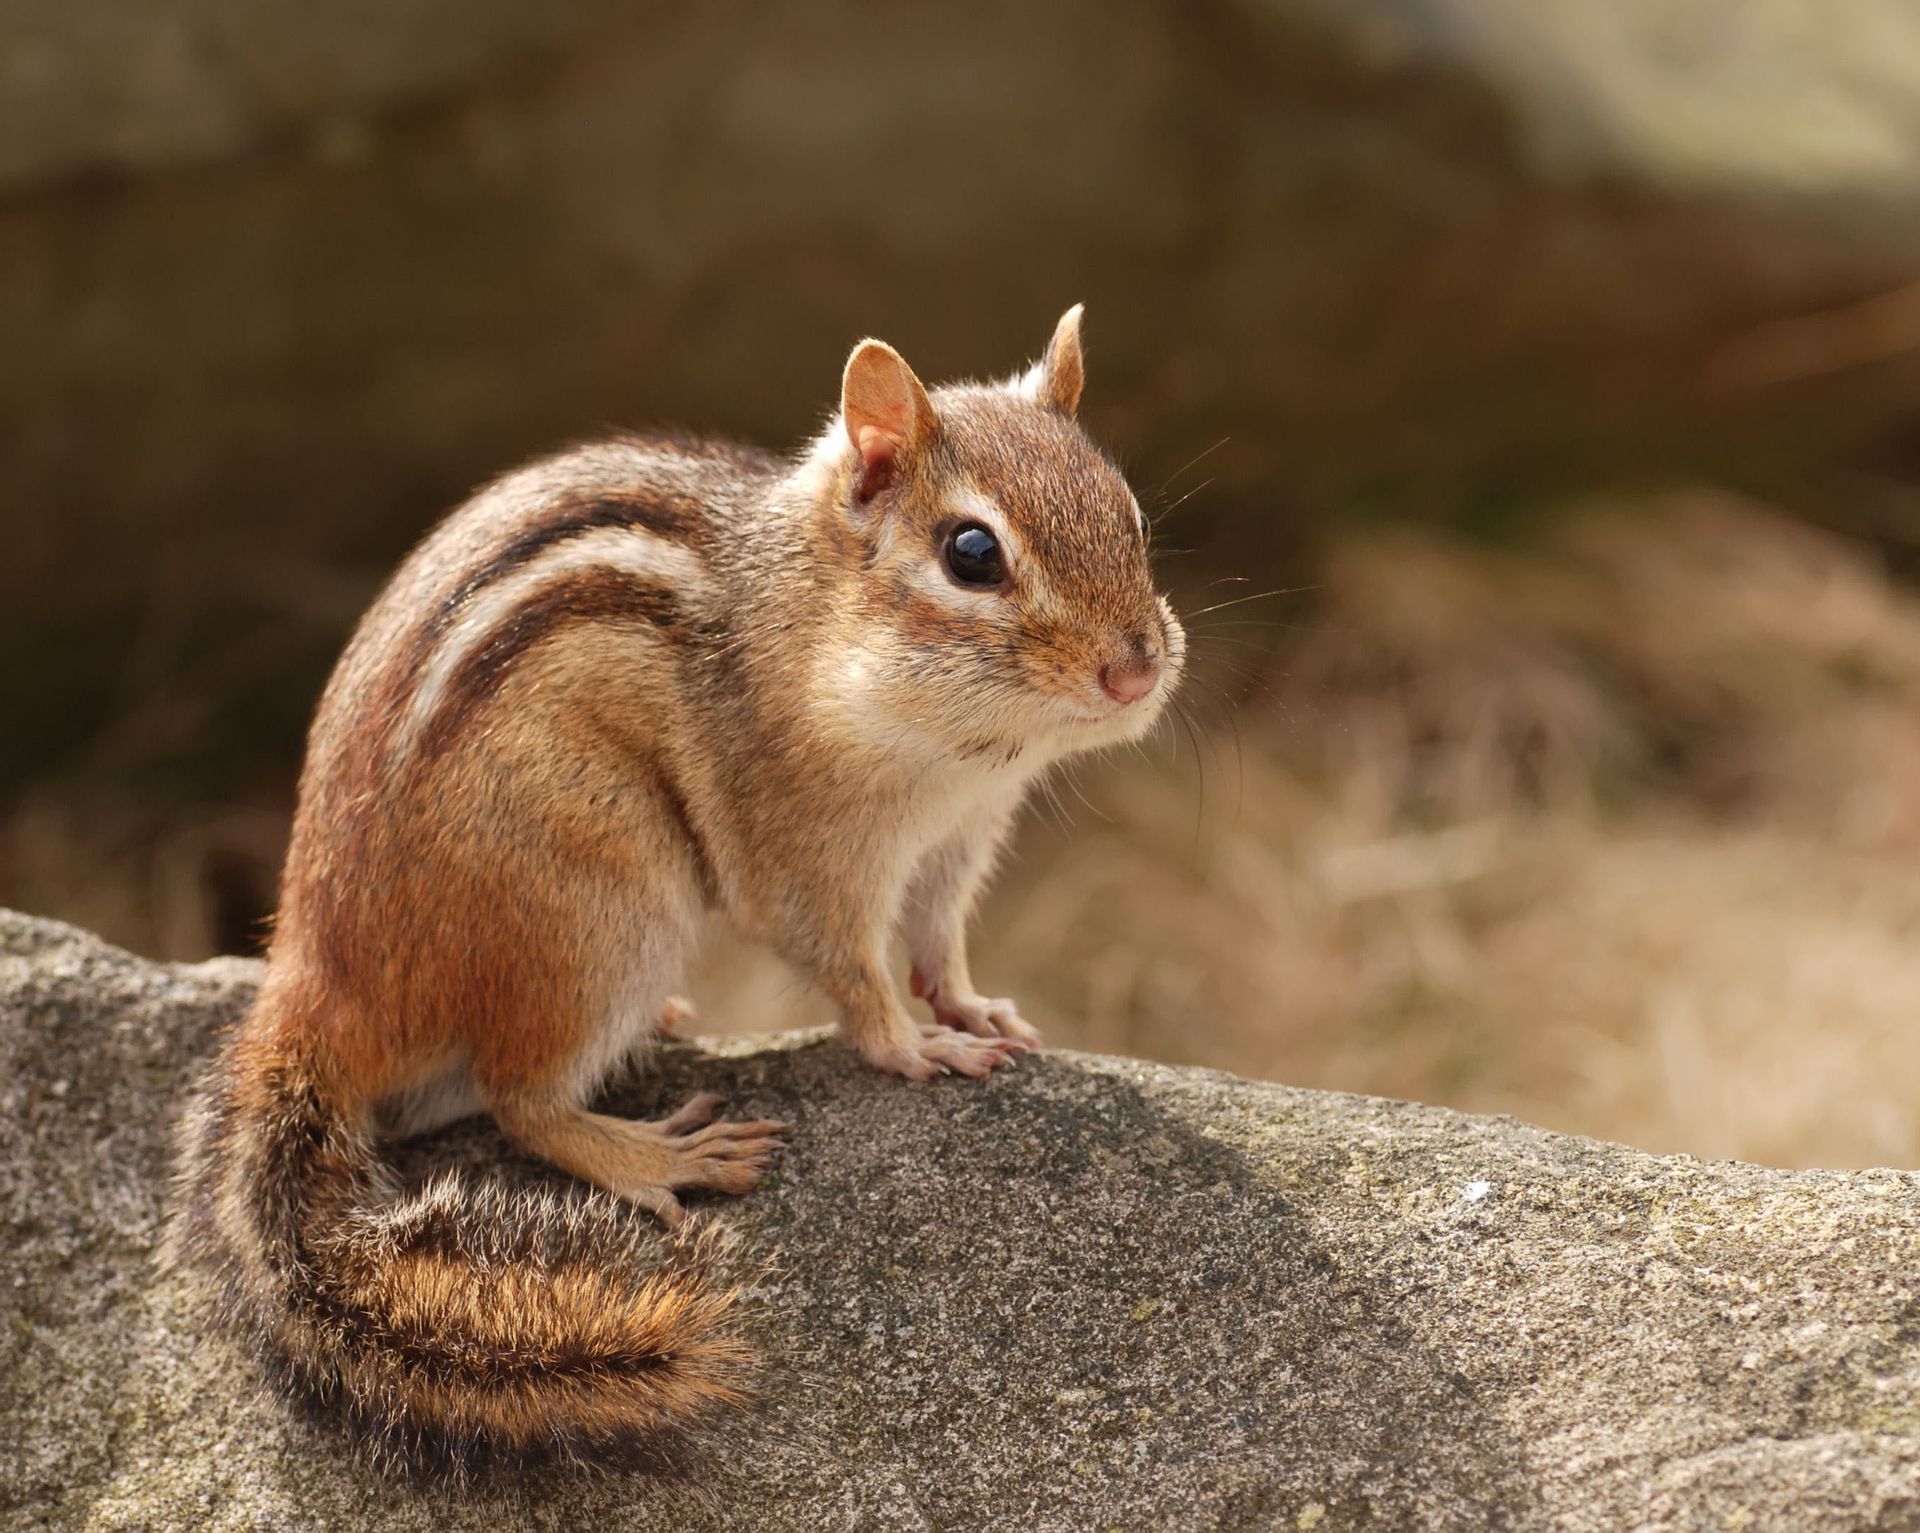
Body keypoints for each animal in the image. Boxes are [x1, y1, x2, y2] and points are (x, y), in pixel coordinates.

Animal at [165, 306, 1184, 1477]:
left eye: (1129, 513)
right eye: (971, 555)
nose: (1136, 670)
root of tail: (315, 976)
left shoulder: (957, 840)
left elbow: (939, 943)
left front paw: (976, 1011)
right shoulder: (806, 852)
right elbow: (854, 972)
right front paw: (916, 1047)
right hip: (602, 907)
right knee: (521, 1103)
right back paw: (662, 1154)